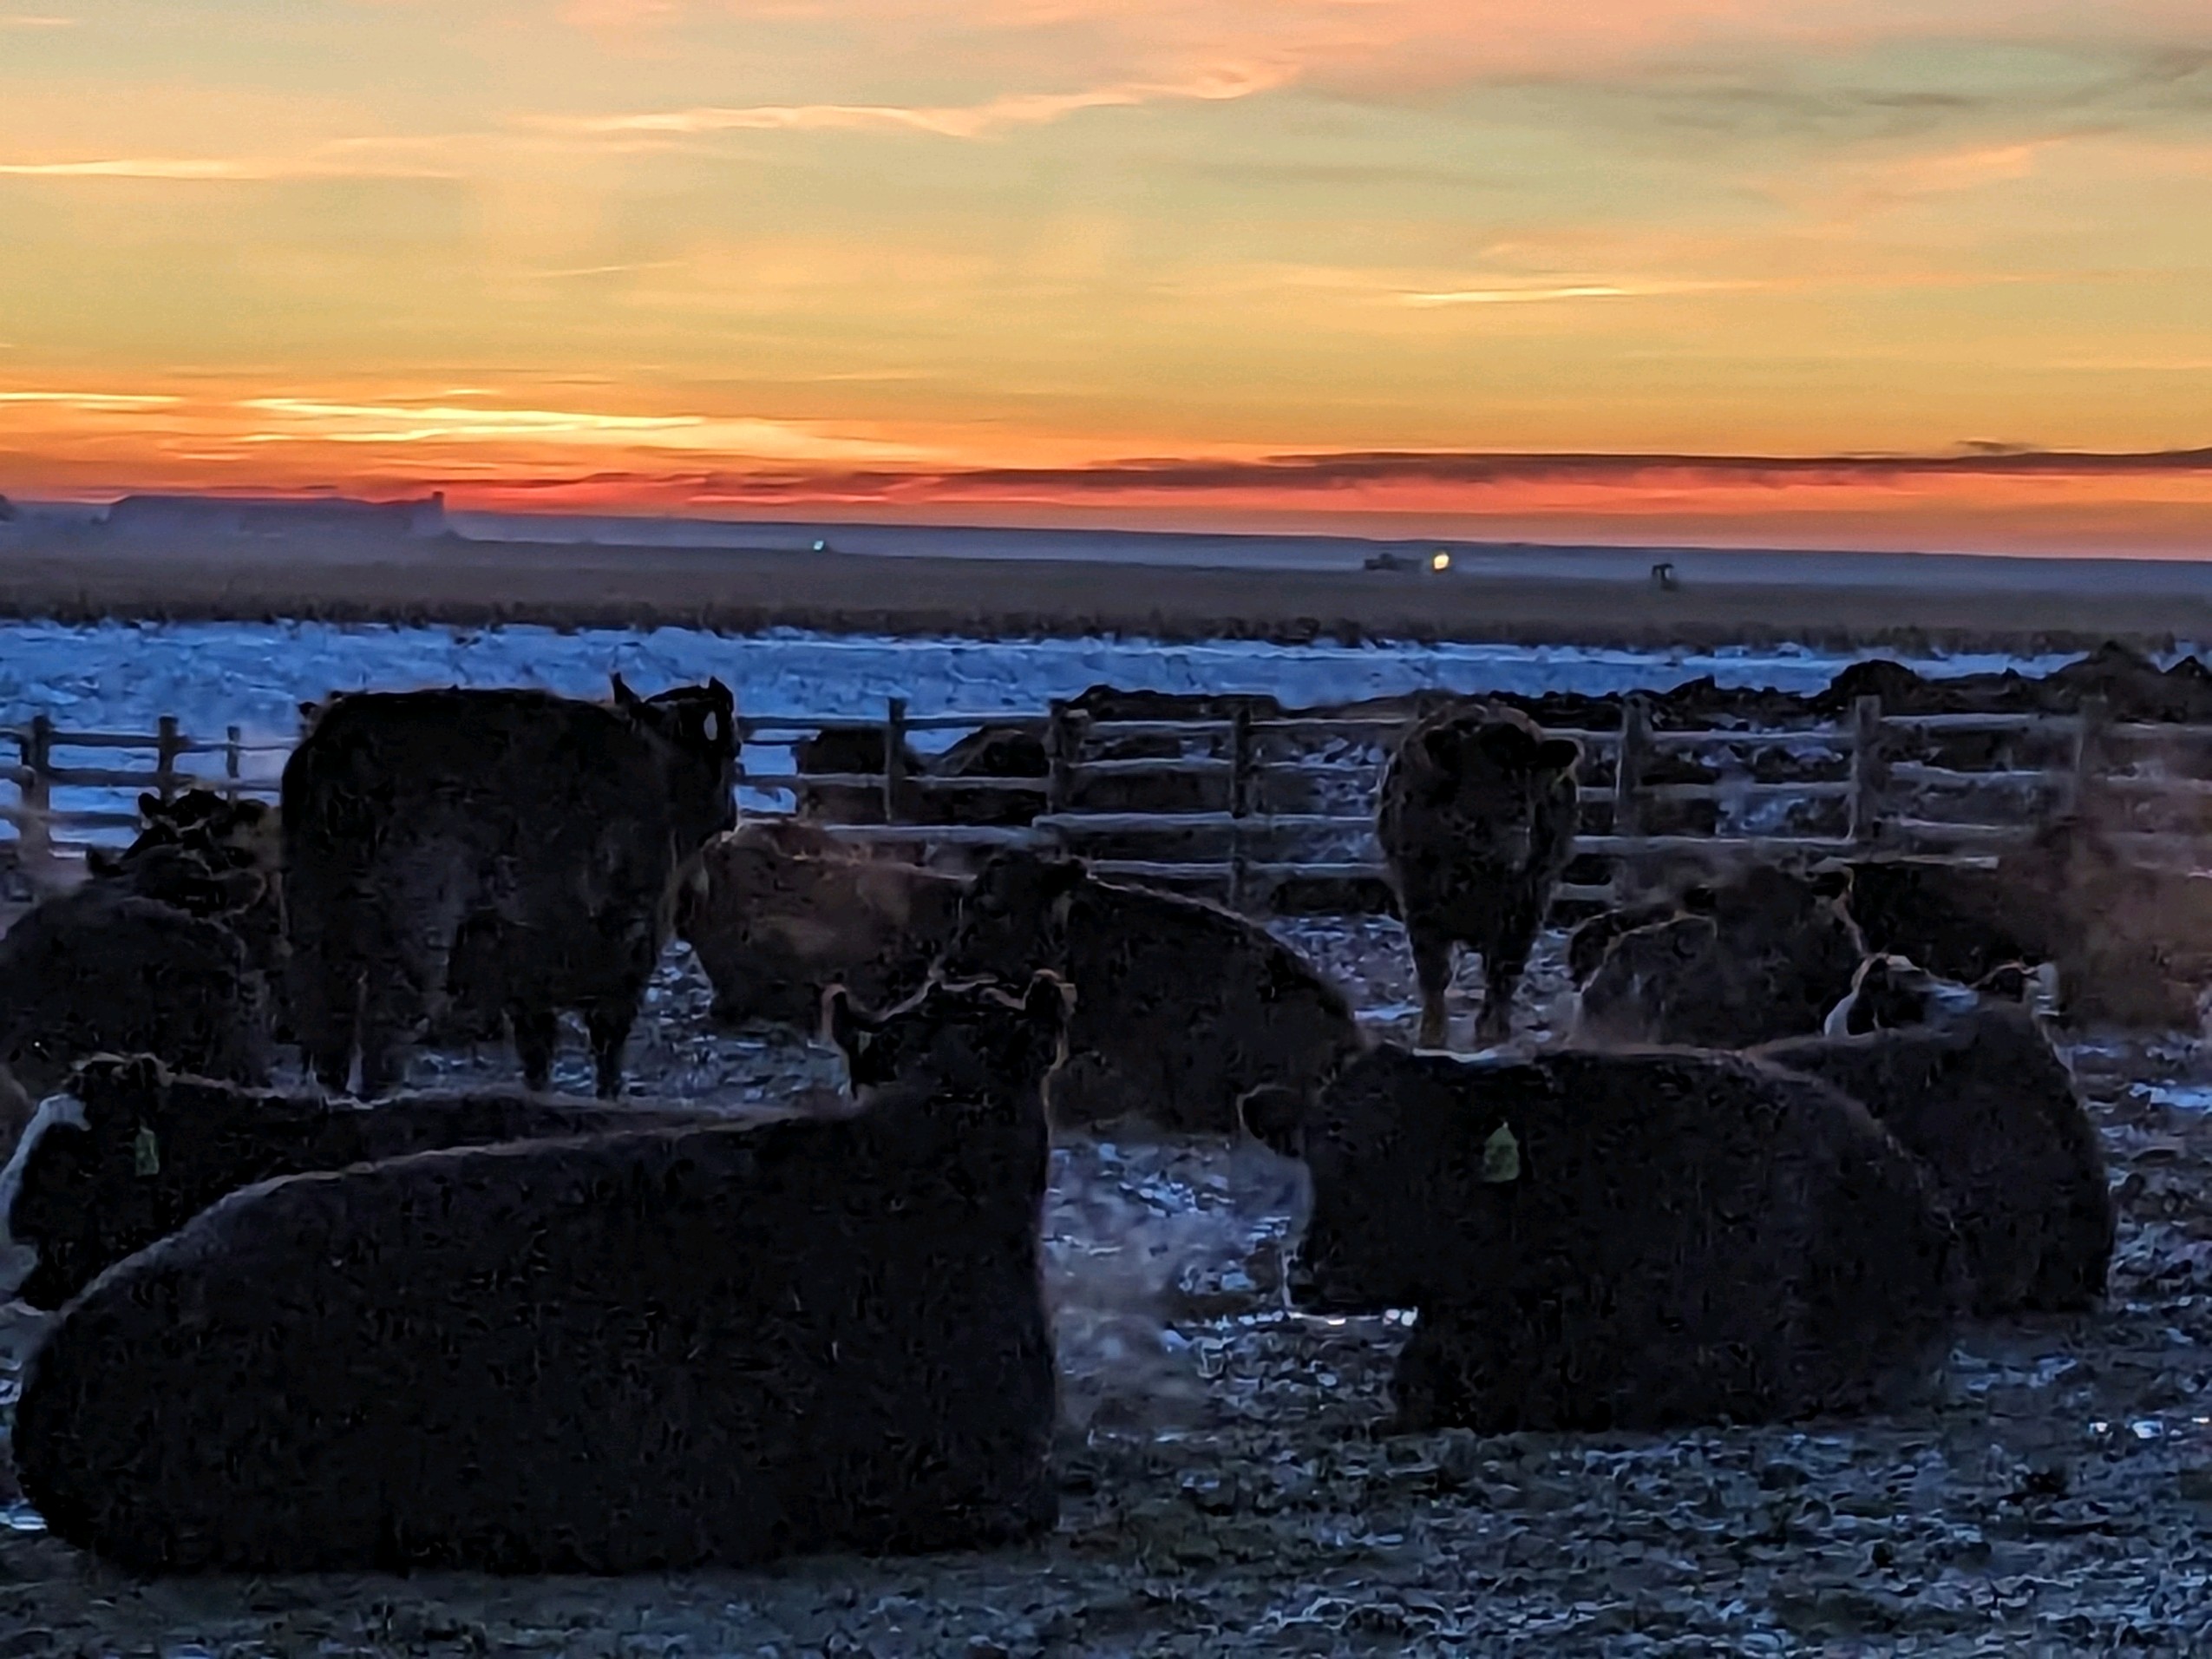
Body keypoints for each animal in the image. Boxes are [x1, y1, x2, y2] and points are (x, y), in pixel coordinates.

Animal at [281, 675, 737, 1099]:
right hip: (409, 931)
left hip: (314, 923)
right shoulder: (627, 942)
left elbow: (538, 1049)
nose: (732, 812)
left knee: (325, 1021)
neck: (664, 770)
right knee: (385, 1025)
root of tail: (338, 744)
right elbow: (606, 1041)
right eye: (731, 751)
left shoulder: (530, 968)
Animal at [1377, 704, 1581, 1049]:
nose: (1516, 851)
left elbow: (1504, 968)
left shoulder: (1527, 902)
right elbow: (1433, 970)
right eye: (1479, 784)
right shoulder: (1419, 898)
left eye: (1533, 787)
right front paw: (1431, 1036)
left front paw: (1491, 1033)